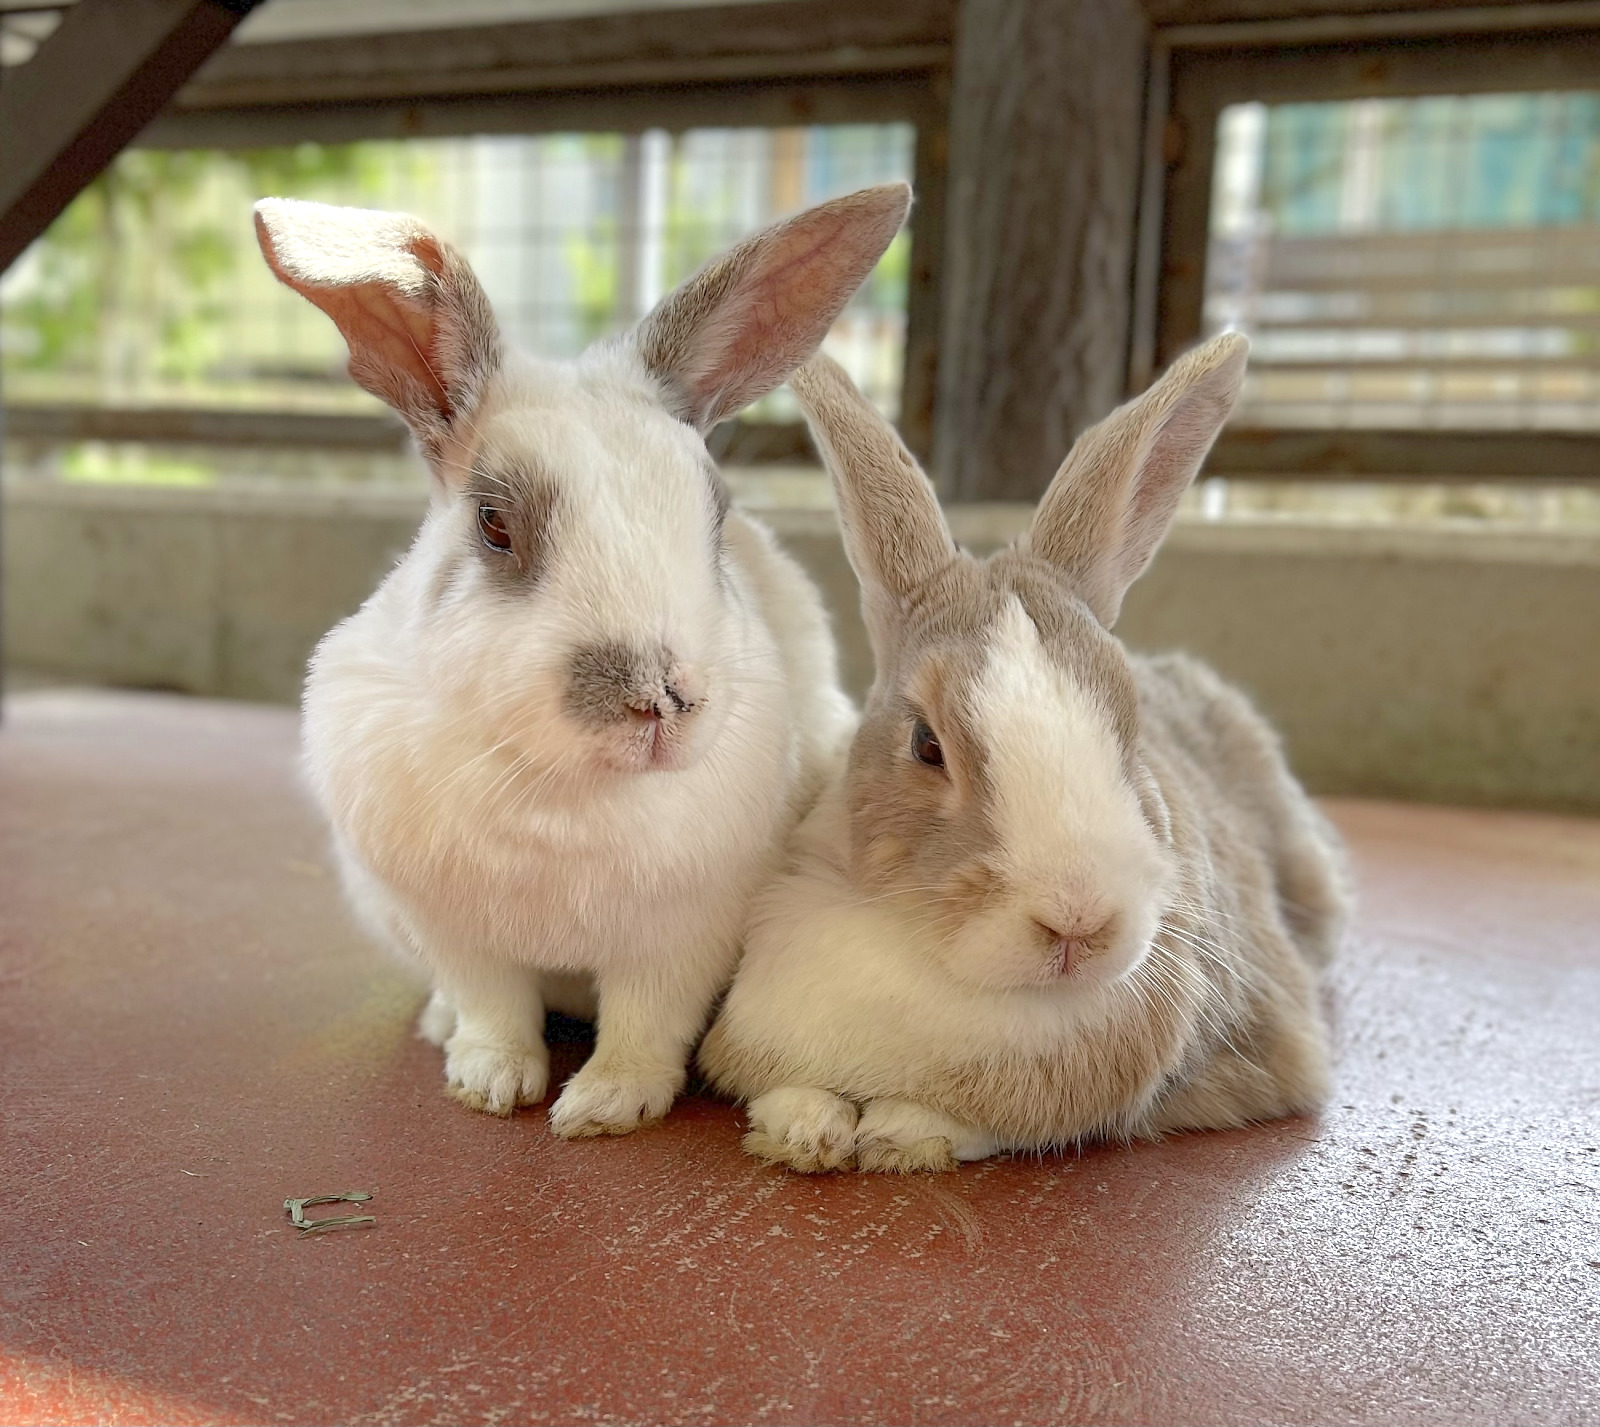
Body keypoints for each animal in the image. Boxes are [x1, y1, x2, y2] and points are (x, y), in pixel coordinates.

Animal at [259, 180, 915, 1139]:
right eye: (495, 524)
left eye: (716, 515)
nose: (659, 698)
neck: (561, 793)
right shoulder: (457, 930)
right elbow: (493, 1007)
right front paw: (490, 1081)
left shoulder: (684, 932)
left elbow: (646, 1024)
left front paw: (605, 1108)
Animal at [694, 334, 1344, 1171]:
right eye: (926, 743)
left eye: (1131, 724)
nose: (1079, 923)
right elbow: (788, 1088)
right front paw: (805, 1131)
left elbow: (993, 1121)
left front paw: (900, 1135)